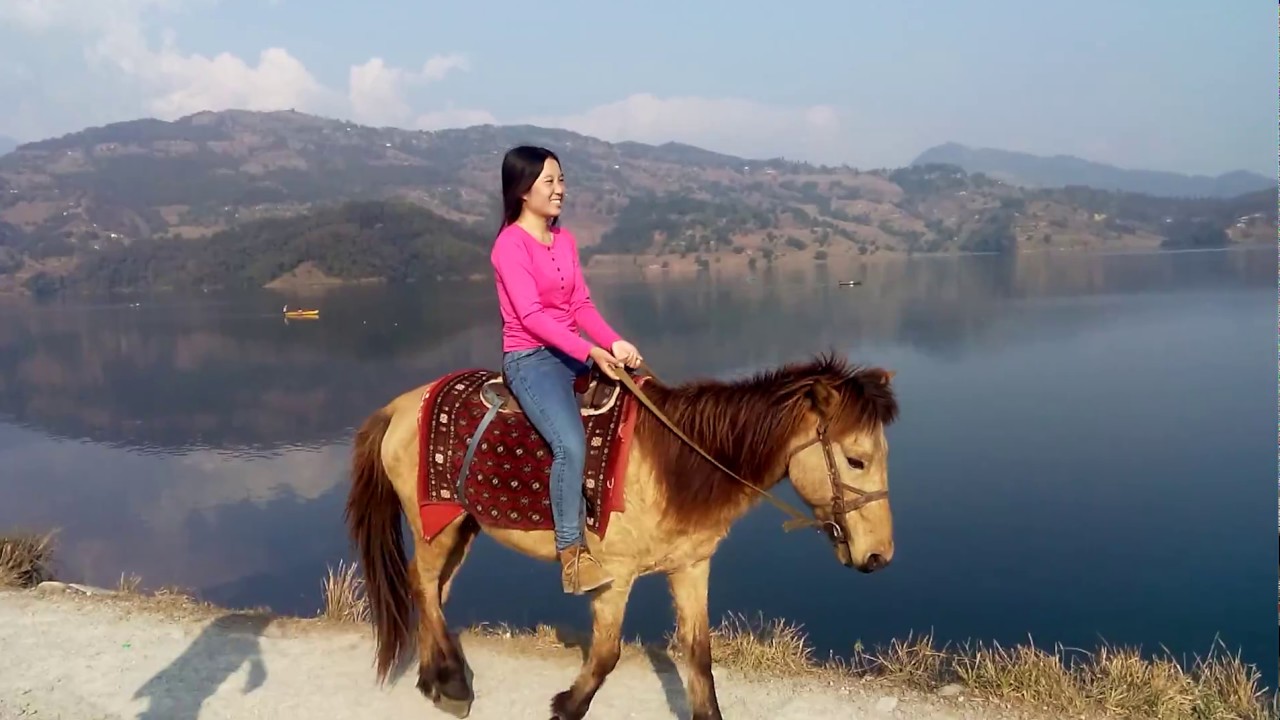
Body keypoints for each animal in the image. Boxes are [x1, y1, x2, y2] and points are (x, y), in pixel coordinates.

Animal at [343, 353, 901, 717]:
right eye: (856, 459)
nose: (879, 556)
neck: (677, 465)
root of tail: (401, 405)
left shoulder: (690, 566)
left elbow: (699, 656)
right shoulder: (614, 575)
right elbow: (607, 654)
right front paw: (568, 704)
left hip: (460, 527)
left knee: (433, 590)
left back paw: (434, 677)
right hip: (434, 525)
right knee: (422, 585)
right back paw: (453, 683)